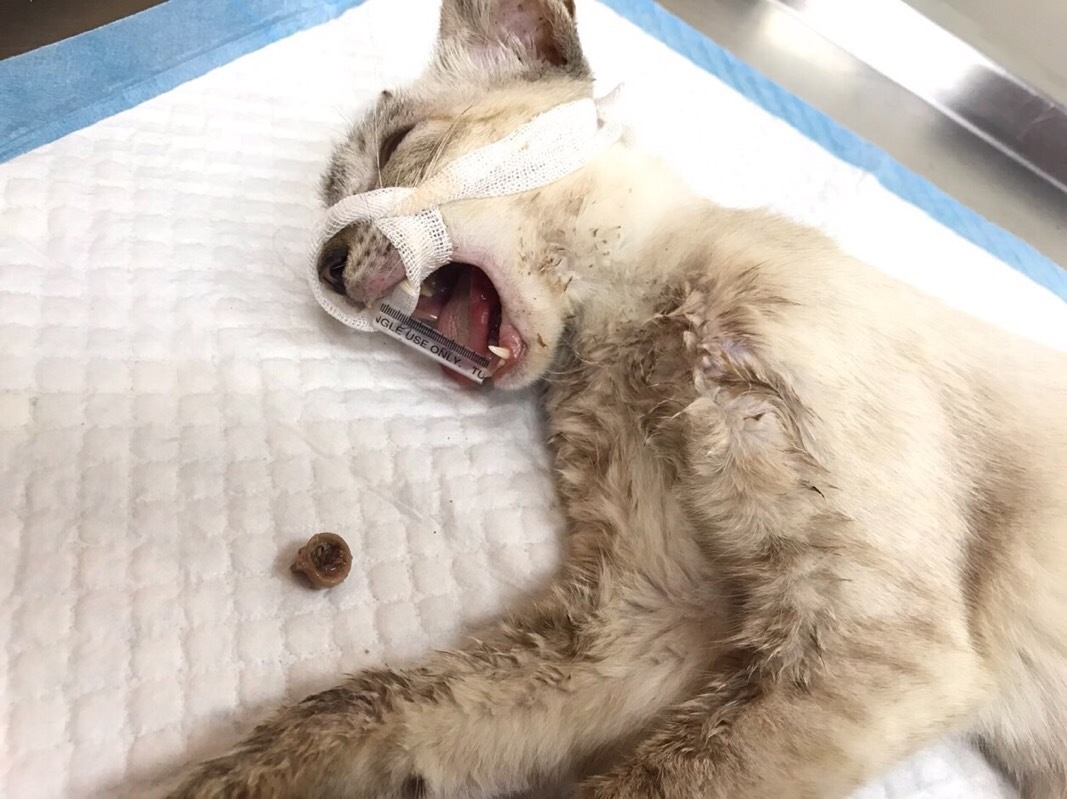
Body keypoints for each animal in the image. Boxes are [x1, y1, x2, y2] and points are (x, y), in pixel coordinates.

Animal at [169, 0, 1067, 796]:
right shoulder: (645, 617)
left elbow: (664, 777)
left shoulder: (871, 636)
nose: (324, 267)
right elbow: (362, 706)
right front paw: (209, 782)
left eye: (395, 146)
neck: (627, 335)